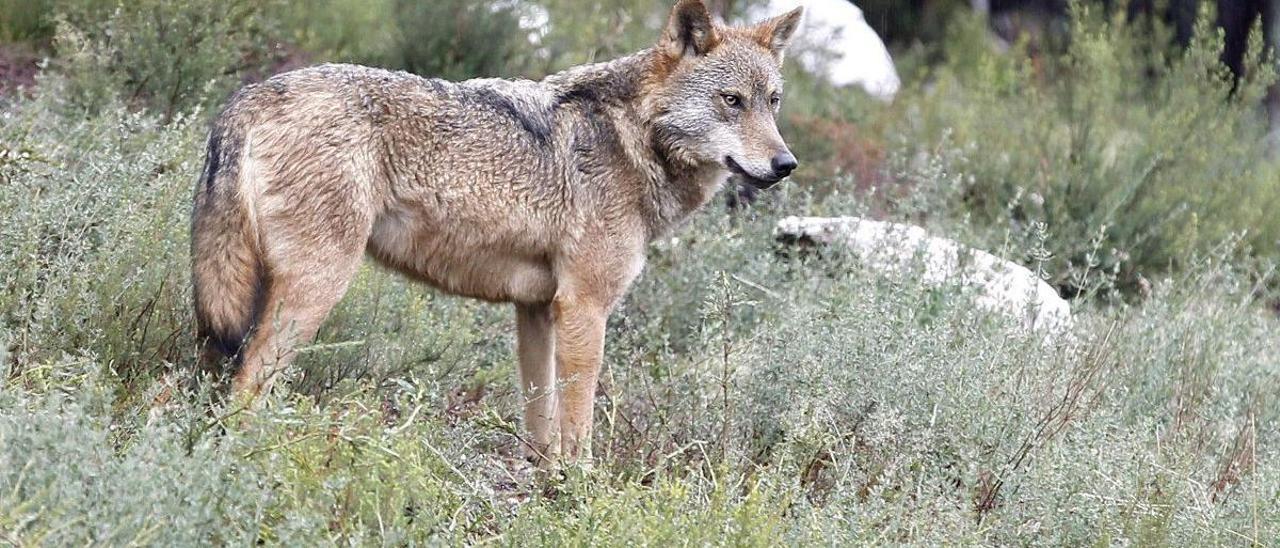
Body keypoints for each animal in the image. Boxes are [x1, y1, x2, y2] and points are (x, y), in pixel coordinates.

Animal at [189, 0, 798, 463]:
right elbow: (578, 424)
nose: (785, 164)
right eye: (731, 101)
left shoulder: (537, 310)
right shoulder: (584, 307)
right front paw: (582, 492)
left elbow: (541, 420)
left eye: (772, 102)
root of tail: (249, 96)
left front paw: (545, 481)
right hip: (315, 290)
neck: (632, 140)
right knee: (246, 386)